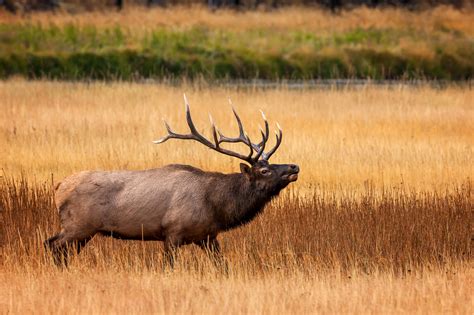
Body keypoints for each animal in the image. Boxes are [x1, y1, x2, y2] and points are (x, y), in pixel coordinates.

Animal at [47, 96, 300, 270]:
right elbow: (168, 266)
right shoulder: (172, 233)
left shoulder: (208, 236)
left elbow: (223, 266)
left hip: (83, 231)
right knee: (53, 244)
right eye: (264, 170)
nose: (294, 167)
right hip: (78, 224)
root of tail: (58, 187)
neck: (216, 206)